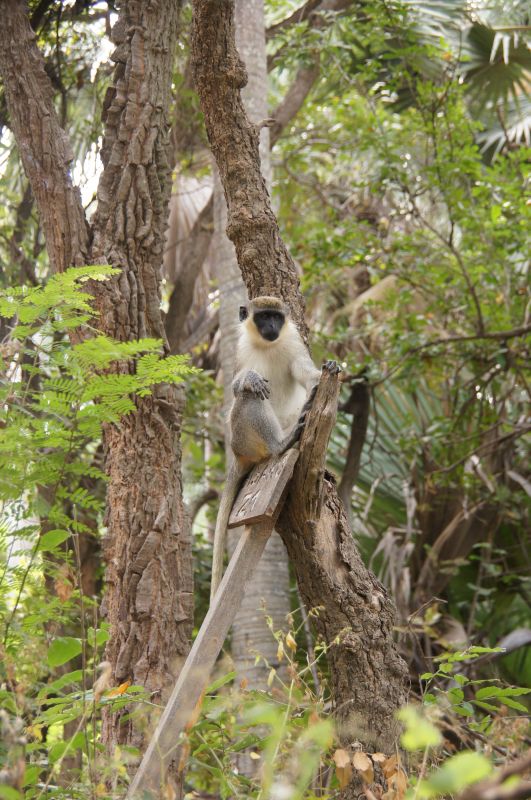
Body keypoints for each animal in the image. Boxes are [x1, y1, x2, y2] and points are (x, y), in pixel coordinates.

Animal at [210, 296, 336, 603]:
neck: (267, 345)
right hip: (243, 438)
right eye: (263, 316)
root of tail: (237, 454)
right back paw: (281, 443)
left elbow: (306, 372)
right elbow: (237, 386)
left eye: (277, 317)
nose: (271, 327)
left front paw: (327, 370)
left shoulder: (293, 340)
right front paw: (249, 378)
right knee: (247, 398)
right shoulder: (240, 348)